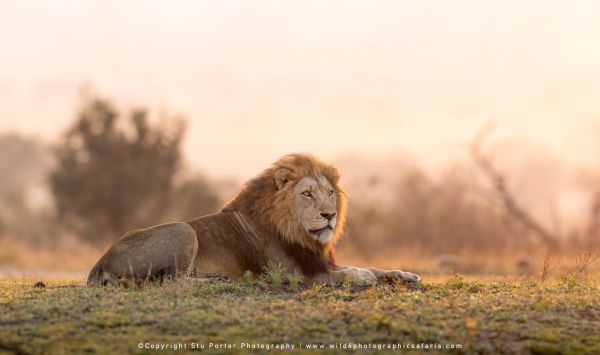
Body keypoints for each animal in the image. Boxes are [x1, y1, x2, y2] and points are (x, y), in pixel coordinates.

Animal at [86, 153, 420, 286]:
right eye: (307, 194)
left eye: (329, 193)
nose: (330, 215)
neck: (296, 230)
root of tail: (98, 264)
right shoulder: (293, 272)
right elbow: (348, 274)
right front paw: (362, 276)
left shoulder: (317, 260)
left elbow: (376, 267)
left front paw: (406, 274)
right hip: (183, 230)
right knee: (171, 281)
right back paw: (217, 282)